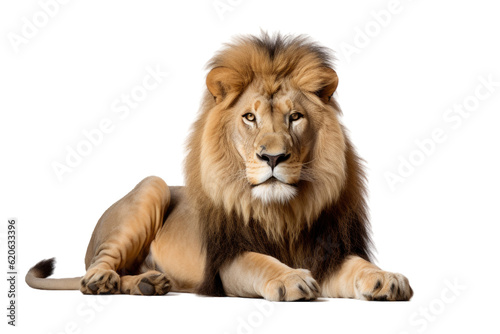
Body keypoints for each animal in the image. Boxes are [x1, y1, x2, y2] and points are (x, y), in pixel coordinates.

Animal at [25, 32, 412, 302]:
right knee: (98, 265)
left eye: (295, 117)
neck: (281, 214)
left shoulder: (326, 252)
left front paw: (387, 277)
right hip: (151, 186)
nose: (273, 158)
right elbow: (260, 261)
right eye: (250, 117)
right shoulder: (227, 261)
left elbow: (358, 265)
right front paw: (290, 278)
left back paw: (148, 283)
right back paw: (103, 281)